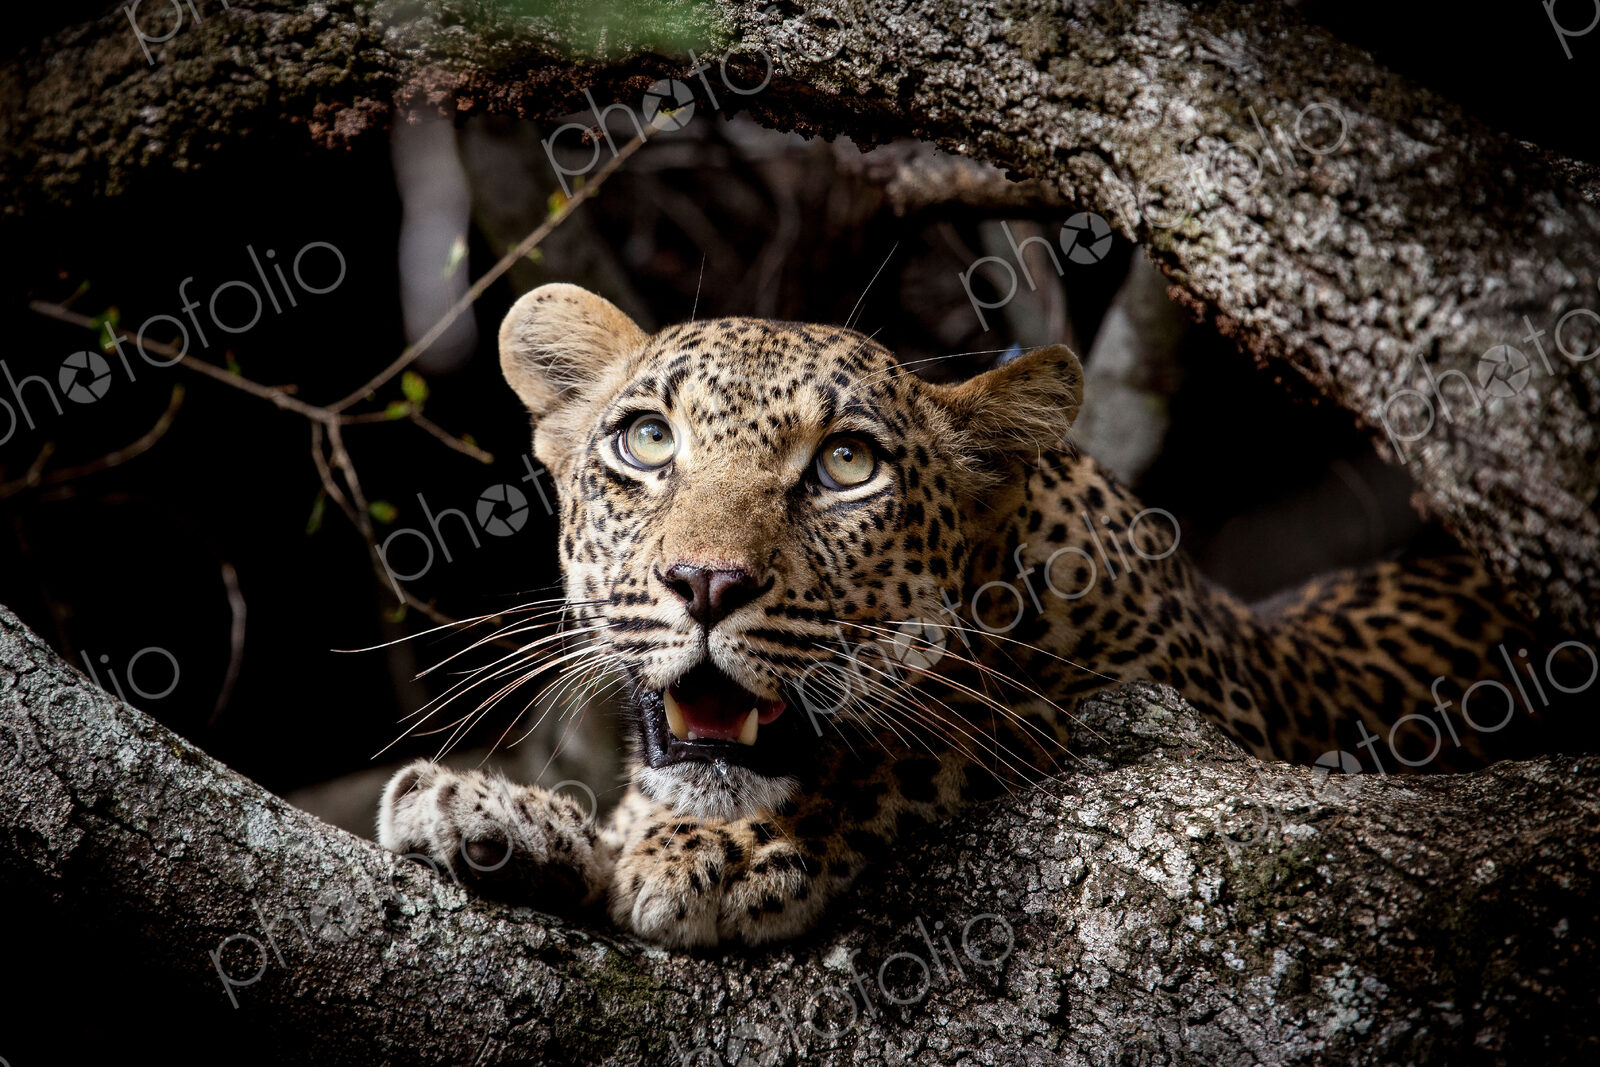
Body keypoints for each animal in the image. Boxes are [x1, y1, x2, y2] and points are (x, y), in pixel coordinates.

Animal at [378, 282, 1586, 948]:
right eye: (645, 440)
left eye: (847, 464)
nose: (705, 581)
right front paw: (490, 810)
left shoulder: (1149, 724)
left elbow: (931, 750)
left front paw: (718, 852)